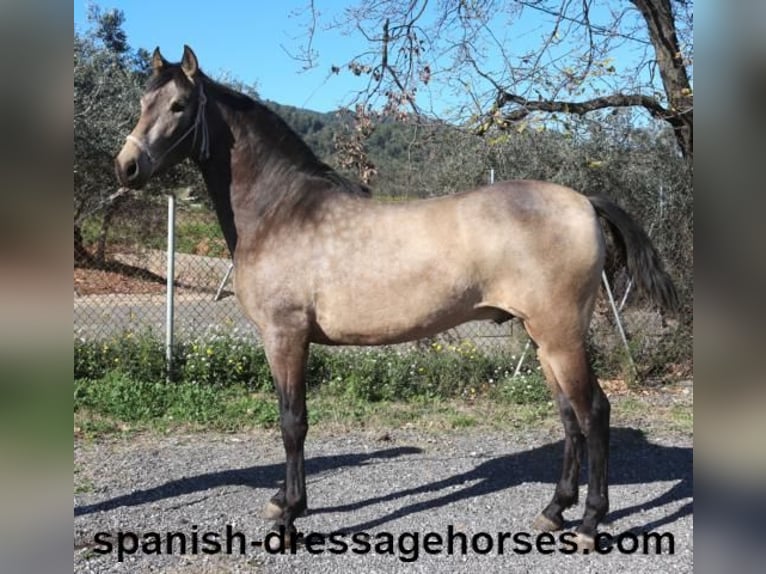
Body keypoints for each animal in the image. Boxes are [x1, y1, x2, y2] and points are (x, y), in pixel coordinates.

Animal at [112, 46, 680, 552]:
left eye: (178, 105)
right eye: (143, 100)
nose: (127, 167)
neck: (281, 211)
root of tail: (583, 201)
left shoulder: (285, 336)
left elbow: (292, 423)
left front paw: (290, 516)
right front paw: (282, 503)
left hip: (559, 335)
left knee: (594, 413)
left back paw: (588, 524)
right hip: (542, 339)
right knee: (569, 417)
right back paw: (553, 511)